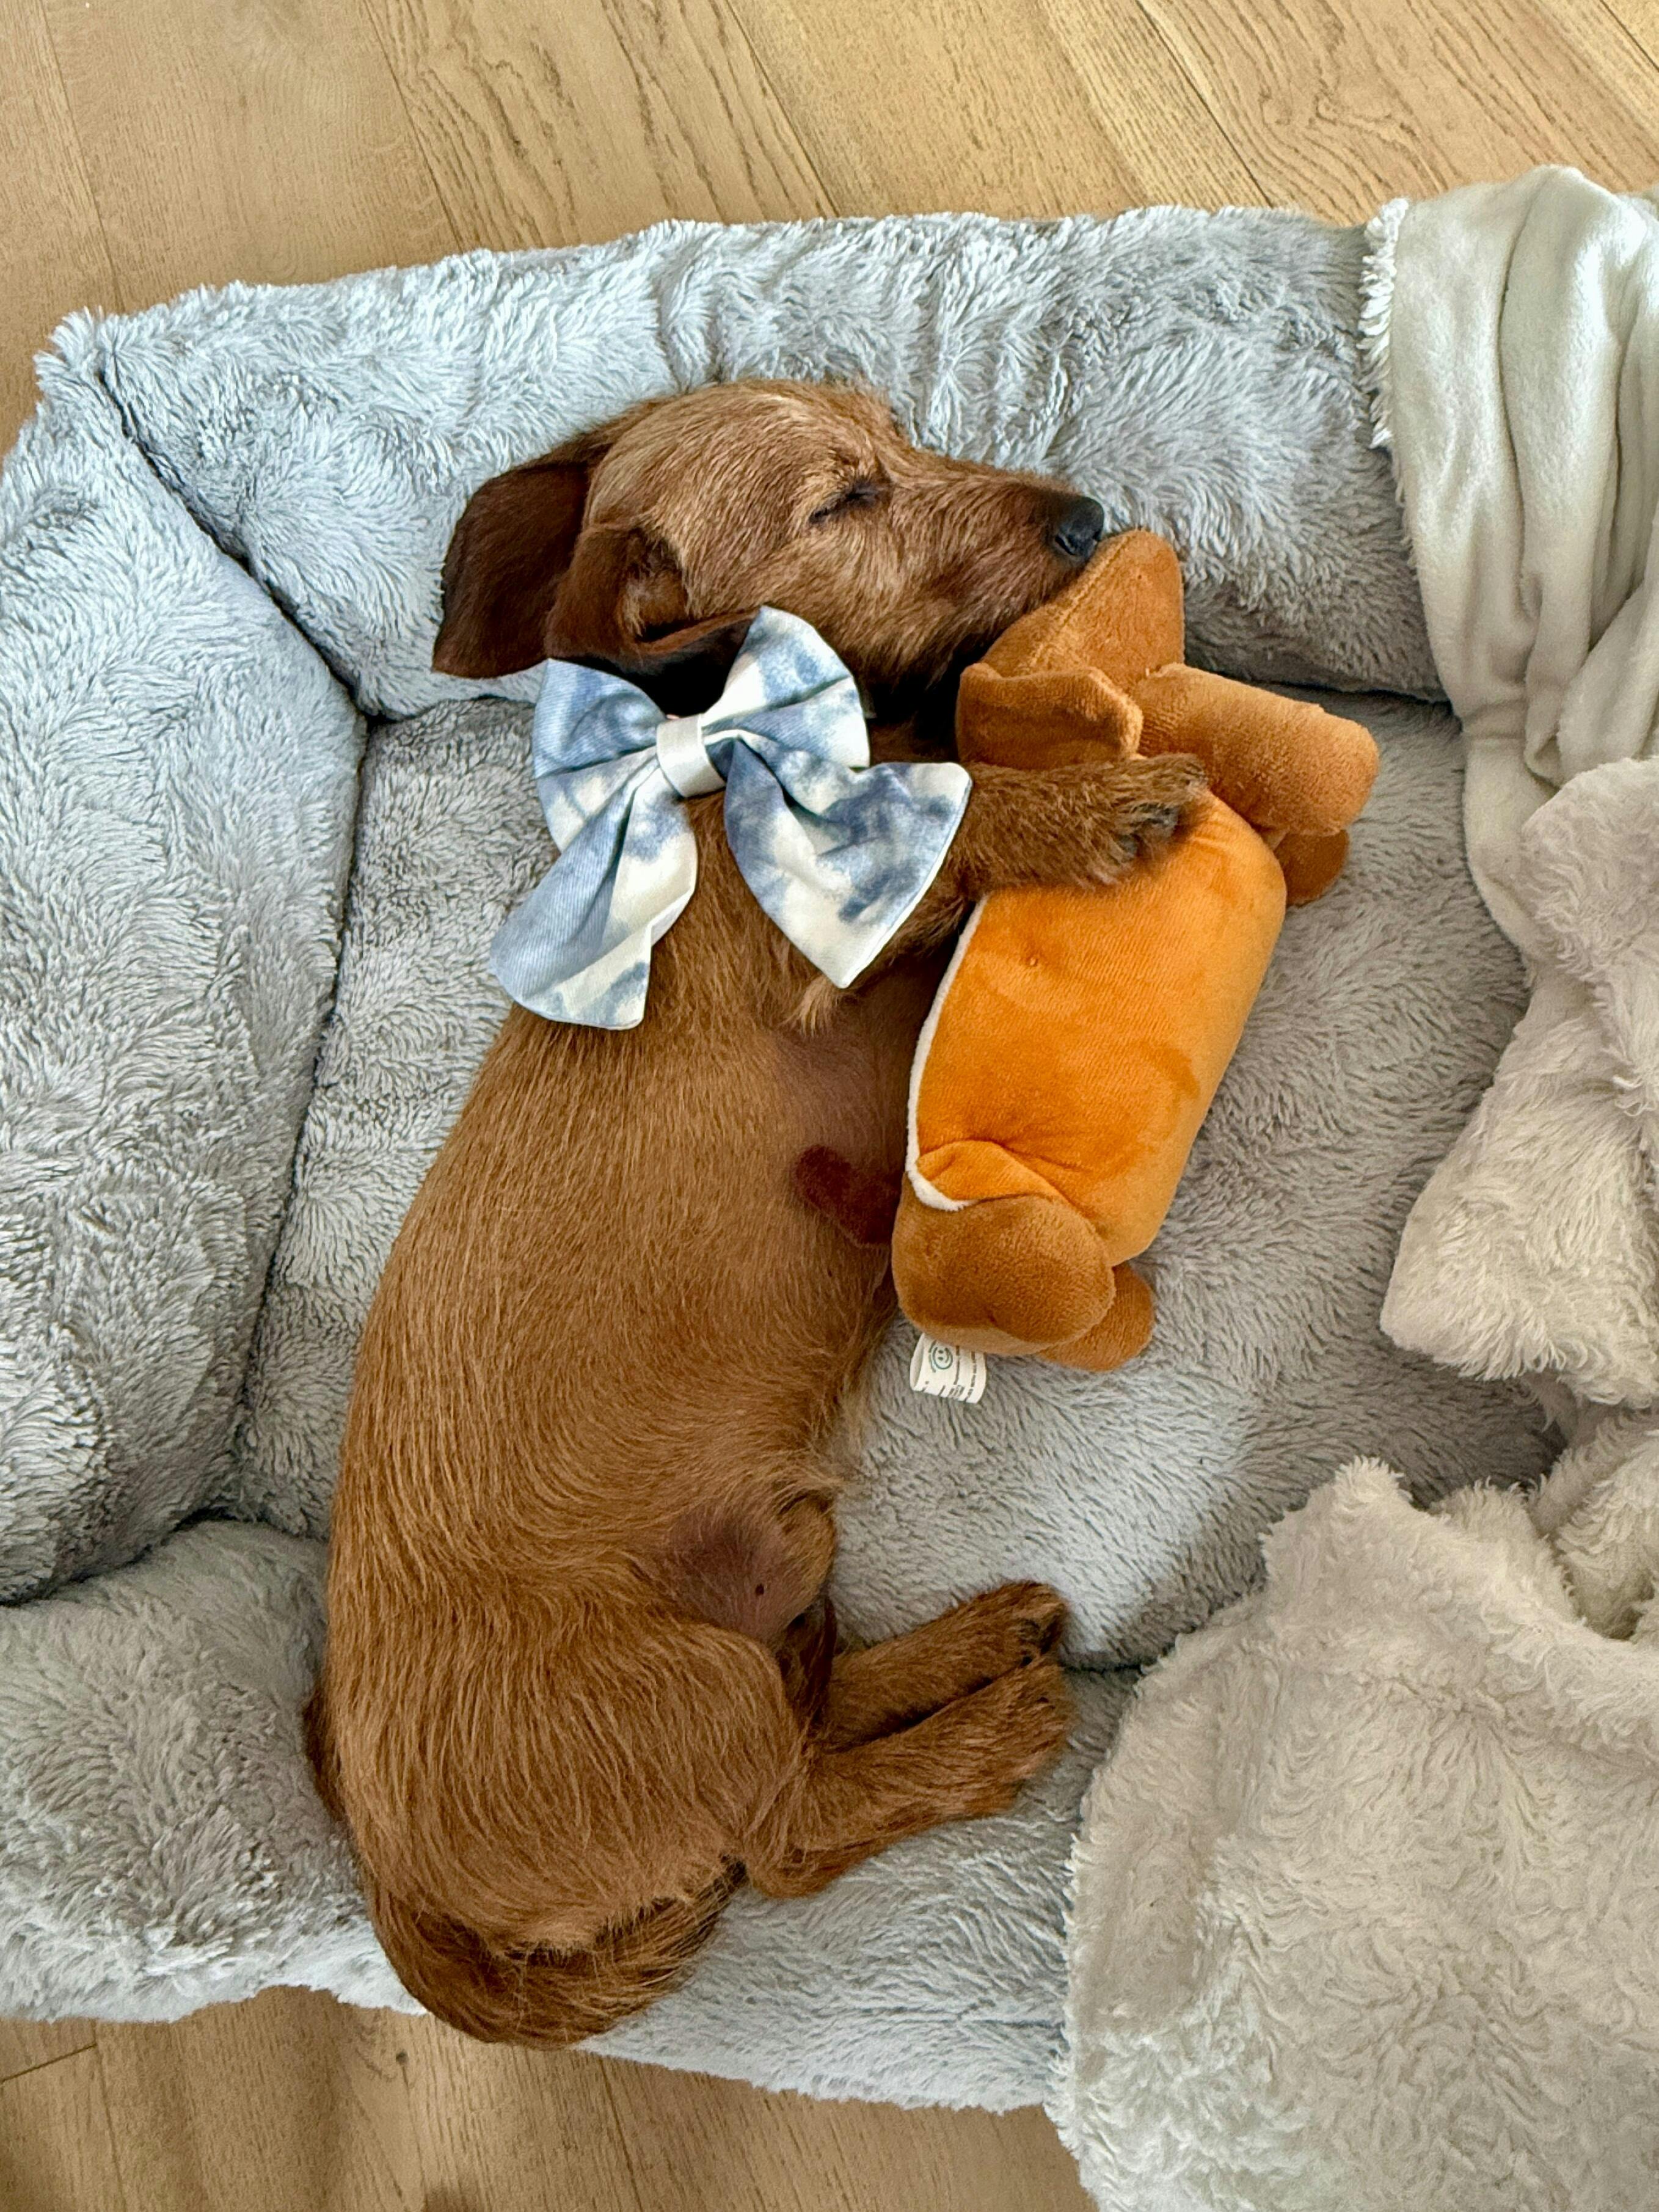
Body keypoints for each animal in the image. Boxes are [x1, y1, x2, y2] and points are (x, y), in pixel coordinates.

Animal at [308, 380, 1203, 2044]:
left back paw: (975, 1642)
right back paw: (992, 1730)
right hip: (690, 1700)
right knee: (789, 1828)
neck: (714, 755)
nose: (1087, 522)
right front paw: (1091, 800)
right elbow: (956, 811)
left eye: (899, 431)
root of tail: (399, 1895)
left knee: (820, 1710)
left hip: (762, 1624)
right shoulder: (815, 932)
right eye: (840, 502)